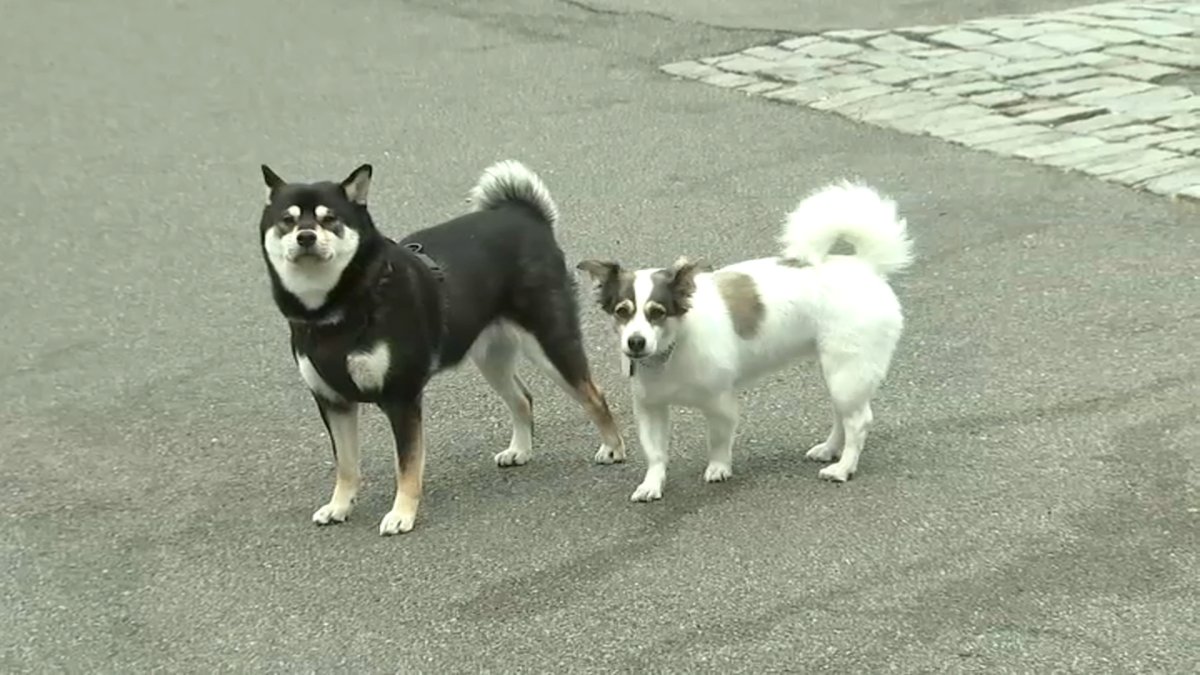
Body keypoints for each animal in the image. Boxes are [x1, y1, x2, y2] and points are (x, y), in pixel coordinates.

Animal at [258, 159, 624, 533]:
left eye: (329, 218)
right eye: (287, 220)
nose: (305, 236)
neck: (337, 311)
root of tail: (524, 215)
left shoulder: (401, 397)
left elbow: (407, 465)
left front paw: (402, 513)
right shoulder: (333, 401)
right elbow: (346, 466)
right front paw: (339, 506)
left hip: (550, 344)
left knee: (594, 395)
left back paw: (613, 448)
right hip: (491, 357)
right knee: (522, 399)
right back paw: (520, 450)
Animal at [576, 180, 912, 499]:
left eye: (657, 313)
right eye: (622, 312)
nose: (636, 342)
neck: (673, 348)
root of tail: (866, 266)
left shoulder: (720, 403)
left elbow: (718, 440)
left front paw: (718, 468)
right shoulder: (651, 408)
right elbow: (656, 453)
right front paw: (652, 484)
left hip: (847, 372)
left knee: (859, 421)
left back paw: (843, 467)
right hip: (839, 373)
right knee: (843, 415)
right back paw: (830, 450)